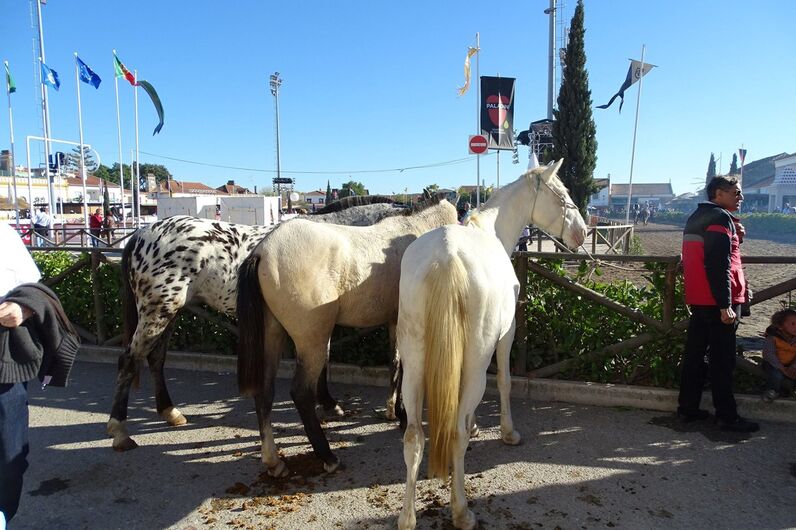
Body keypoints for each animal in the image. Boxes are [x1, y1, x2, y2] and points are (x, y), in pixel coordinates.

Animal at [106, 198, 407, 451]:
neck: (345, 240)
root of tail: (140, 235)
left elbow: (325, 361)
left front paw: (330, 404)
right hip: (158, 311)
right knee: (129, 360)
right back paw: (120, 431)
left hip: (170, 311)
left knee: (155, 358)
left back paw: (170, 412)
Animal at [236, 196, 459, 476]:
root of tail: (263, 251)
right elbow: (402, 367)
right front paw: (403, 415)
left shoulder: (394, 321)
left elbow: (394, 363)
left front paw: (395, 412)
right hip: (312, 339)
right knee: (300, 392)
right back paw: (327, 456)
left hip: (274, 336)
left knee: (264, 391)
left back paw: (274, 462)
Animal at [396, 161, 587, 530]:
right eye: (563, 193)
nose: (582, 232)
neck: (491, 229)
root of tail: (447, 257)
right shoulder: (506, 334)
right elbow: (504, 381)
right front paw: (508, 432)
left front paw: (475, 424)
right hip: (474, 365)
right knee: (455, 435)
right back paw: (461, 511)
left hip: (413, 366)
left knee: (413, 437)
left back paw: (407, 517)